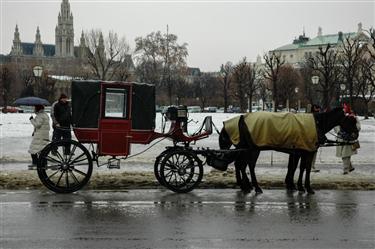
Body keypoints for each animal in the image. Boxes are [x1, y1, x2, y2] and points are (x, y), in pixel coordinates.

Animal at [219, 107, 360, 195]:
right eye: (351, 120)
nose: (356, 134)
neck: (317, 124)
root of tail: (242, 118)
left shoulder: (300, 151)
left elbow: (297, 167)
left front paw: (296, 186)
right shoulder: (307, 151)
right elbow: (305, 168)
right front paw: (307, 187)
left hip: (246, 149)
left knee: (240, 165)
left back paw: (245, 186)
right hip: (253, 149)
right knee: (248, 165)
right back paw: (254, 187)